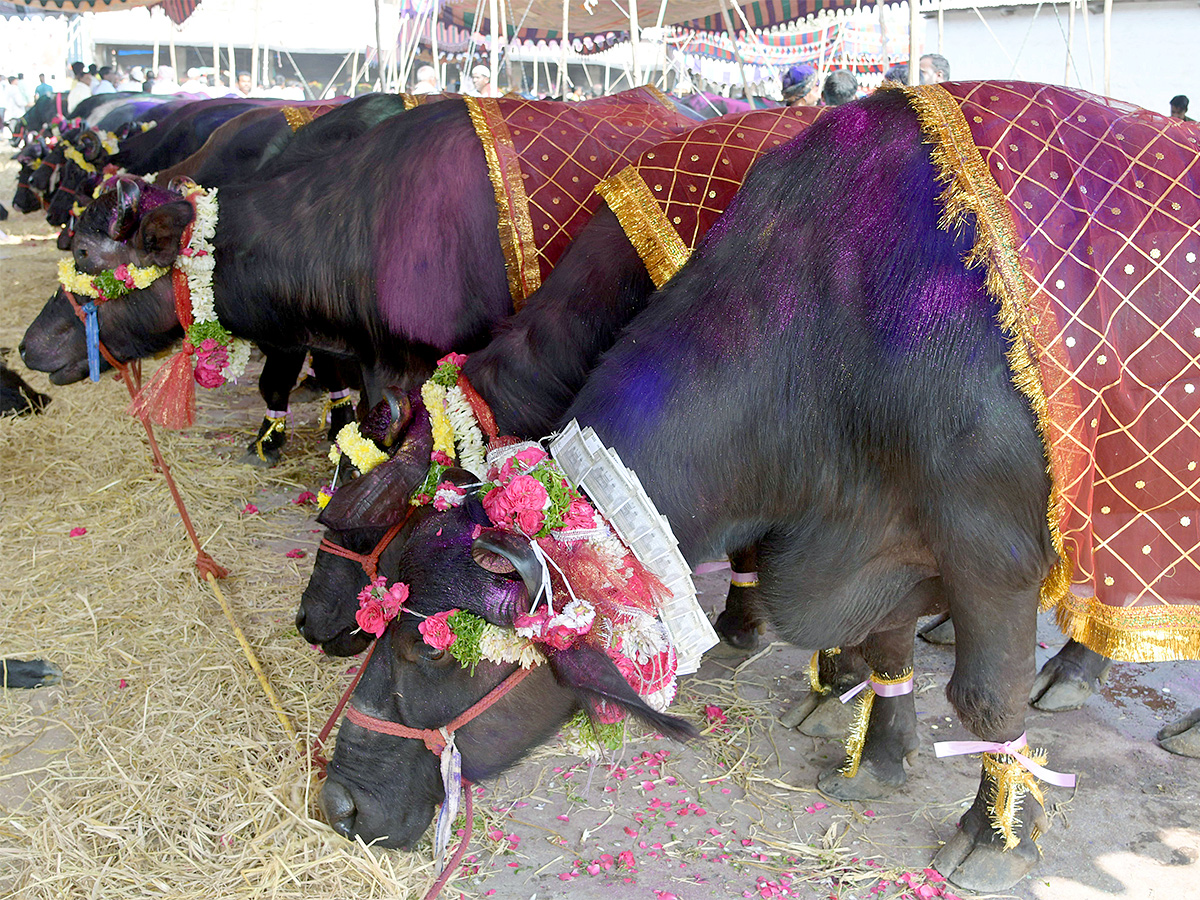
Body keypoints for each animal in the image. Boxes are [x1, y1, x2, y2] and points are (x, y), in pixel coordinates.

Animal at [316, 86, 1200, 897]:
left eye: (434, 651)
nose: (337, 805)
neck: (842, 327)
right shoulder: (881, 539)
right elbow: (887, 645)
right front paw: (875, 753)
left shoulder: (994, 556)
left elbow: (987, 702)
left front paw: (992, 834)